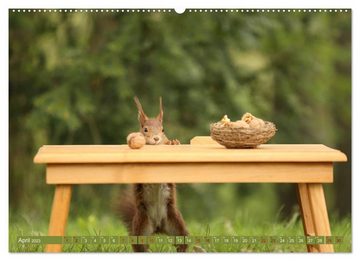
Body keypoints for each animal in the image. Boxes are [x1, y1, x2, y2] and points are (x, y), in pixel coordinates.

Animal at [119, 96, 191, 251]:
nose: (156, 138)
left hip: (175, 221)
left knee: (182, 241)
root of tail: (158, 227)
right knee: (140, 246)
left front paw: (174, 142)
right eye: (145, 129)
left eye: (163, 129)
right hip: (141, 225)